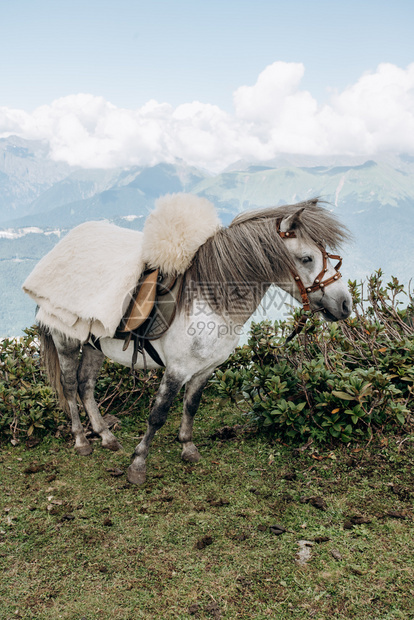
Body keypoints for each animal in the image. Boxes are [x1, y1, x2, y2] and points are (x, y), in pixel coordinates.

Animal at [38, 199, 350, 484]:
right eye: (307, 258)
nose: (345, 304)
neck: (212, 302)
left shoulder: (205, 369)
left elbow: (191, 405)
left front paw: (187, 447)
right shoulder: (177, 370)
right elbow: (158, 414)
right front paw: (138, 464)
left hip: (94, 345)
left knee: (86, 385)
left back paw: (106, 436)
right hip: (66, 341)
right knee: (69, 386)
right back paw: (82, 441)